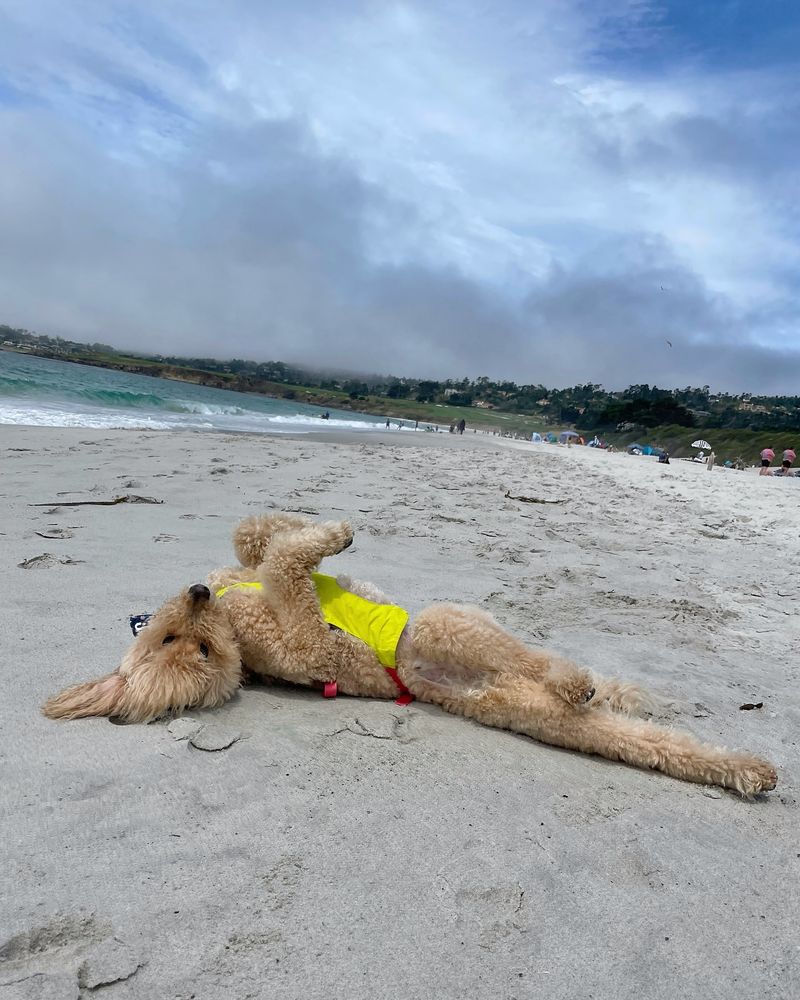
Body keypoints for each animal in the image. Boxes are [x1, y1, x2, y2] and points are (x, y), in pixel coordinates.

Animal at [43, 516, 776, 796]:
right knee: (556, 675)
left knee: (639, 724)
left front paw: (298, 528)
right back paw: (583, 684)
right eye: (184, 646)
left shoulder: (248, 575)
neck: (235, 621)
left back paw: (739, 761)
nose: (195, 594)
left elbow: (257, 537)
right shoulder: (301, 639)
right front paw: (334, 532)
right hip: (447, 627)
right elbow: (286, 562)